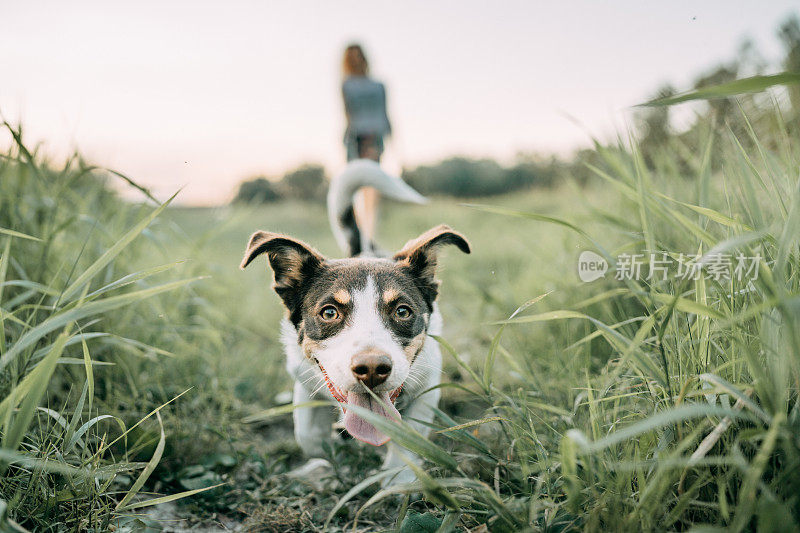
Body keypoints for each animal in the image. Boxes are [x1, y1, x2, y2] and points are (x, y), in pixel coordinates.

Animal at [242, 158, 468, 482]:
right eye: (329, 313)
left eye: (402, 311)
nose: (372, 369)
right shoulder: (302, 377)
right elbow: (307, 435)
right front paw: (330, 451)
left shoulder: (427, 383)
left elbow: (409, 437)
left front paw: (398, 477)